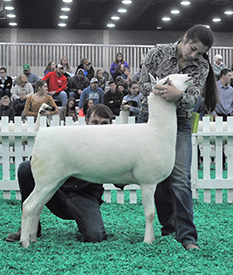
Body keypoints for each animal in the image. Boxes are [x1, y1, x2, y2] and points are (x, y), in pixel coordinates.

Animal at [20, 73, 192, 248]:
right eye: (167, 82)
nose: (189, 76)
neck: (157, 130)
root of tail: (41, 134)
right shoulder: (148, 181)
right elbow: (150, 214)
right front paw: (148, 241)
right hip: (46, 179)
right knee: (28, 206)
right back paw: (25, 242)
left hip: (54, 181)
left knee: (38, 207)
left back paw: (33, 239)